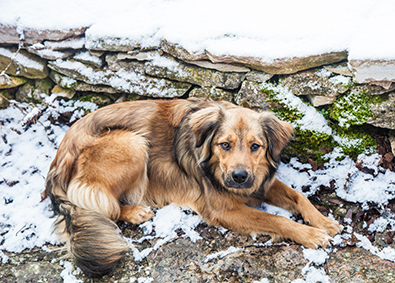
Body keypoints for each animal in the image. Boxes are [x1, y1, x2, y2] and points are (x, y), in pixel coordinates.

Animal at [44, 97, 342, 278]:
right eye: (225, 144)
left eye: (255, 146)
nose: (239, 176)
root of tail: (61, 154)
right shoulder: (223, 208)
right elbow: (275, 219)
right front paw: (310, 234)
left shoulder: (258, 181)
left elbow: (298, 195)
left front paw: (323, 221)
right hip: (132, 143)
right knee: (100, 203)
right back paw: (135, 212)